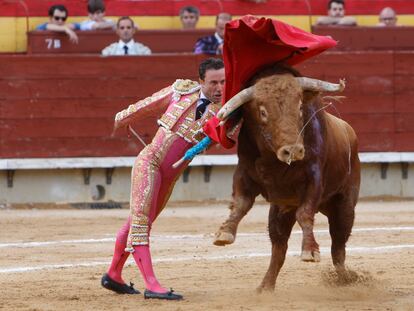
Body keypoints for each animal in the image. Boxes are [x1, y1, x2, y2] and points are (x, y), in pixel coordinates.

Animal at [213, 66, 360, 292]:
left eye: (300, 107)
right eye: (263, 112)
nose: (293, 150)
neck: (275, 162)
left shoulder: (314, 179)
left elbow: (305, 213)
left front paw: (310, 251)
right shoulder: (244, 173)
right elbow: (240, 204)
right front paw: (224, 233)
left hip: (344, 204)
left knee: (338, 245)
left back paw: (346, 279)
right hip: (281, 210)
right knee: (279, 247)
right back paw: (265, 287)